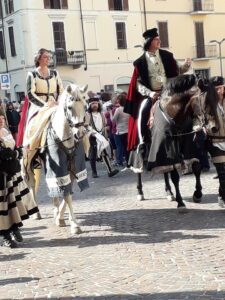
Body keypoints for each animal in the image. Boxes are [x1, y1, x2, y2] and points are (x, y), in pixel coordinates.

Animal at [23, 83, 88, 236]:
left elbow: (67, 192)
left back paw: (56, 209)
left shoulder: (72, 168)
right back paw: (36, 212)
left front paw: (62, 217)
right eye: (69, 107)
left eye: (85, 106)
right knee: (31, 183)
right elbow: (66, 194)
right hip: (29, 160)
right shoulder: (59, 168)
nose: (80, 133)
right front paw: (74, 224)